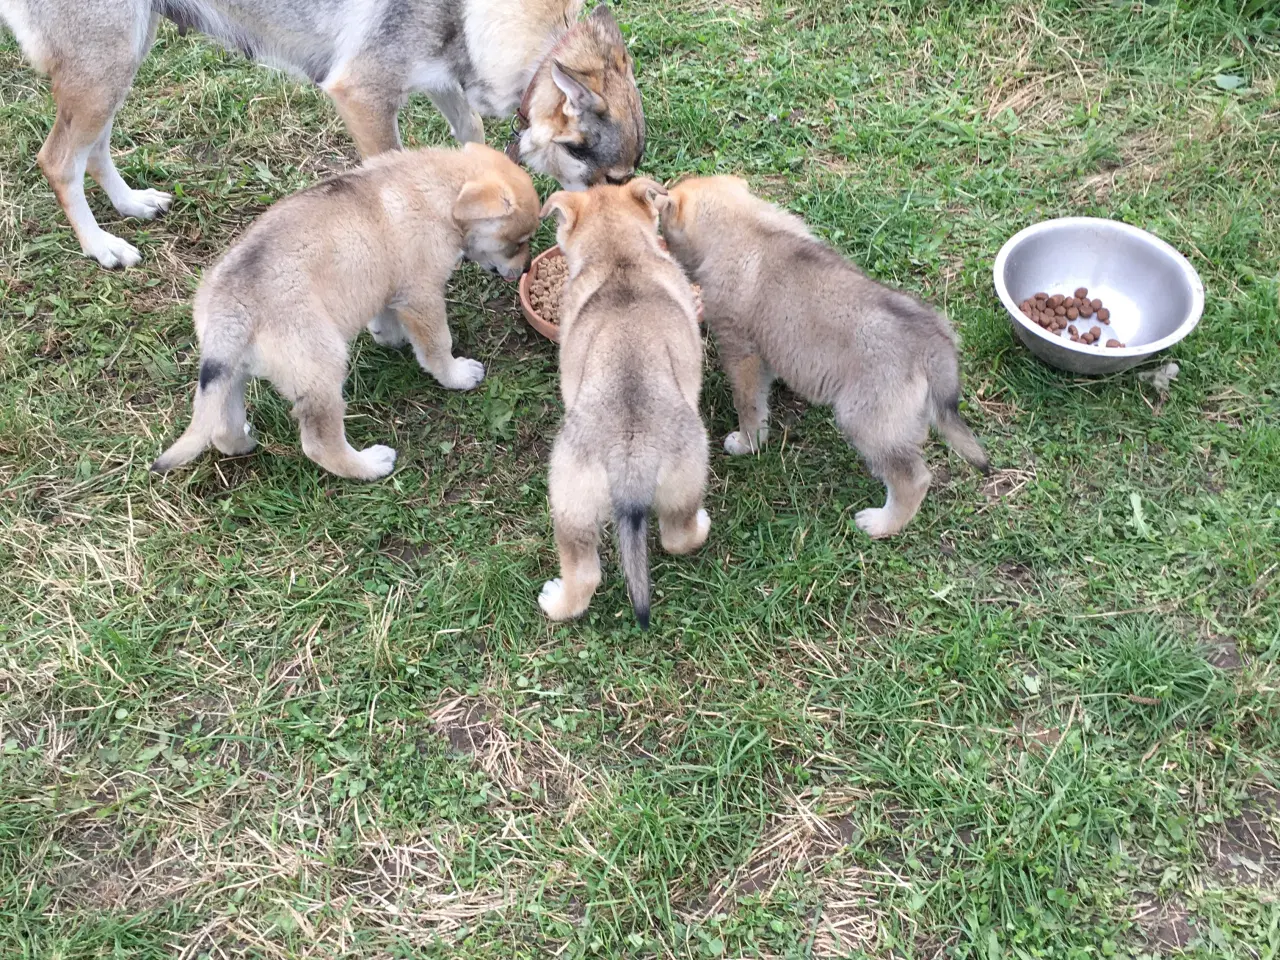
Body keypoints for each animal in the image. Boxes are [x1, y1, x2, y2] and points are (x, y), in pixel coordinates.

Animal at [152, 142, 537, 481]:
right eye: (518, 242)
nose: (527, 266)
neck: (438, 189)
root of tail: (232, 305)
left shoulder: (386, 285)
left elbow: (384, 317)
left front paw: (388, 337)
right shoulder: (422, 296)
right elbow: (438, 346)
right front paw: (457, 375)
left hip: (227, 373)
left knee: (221, 428)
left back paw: (244, 440)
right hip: (322, 368)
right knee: (320, 445)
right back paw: (370, 465)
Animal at [535, 179, 706, 632]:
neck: (619, 257)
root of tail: (631, 455)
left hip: (569, 499)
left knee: (585, 574)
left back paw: (554, 601)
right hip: (678, 482)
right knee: (675, 538)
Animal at [660, 175, 988, 542]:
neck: (746, 226)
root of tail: (931, 341)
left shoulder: (740, 351)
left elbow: (749, 406)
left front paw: (747, 442)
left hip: (865, 420)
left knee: (912, 479)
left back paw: (881, 523)